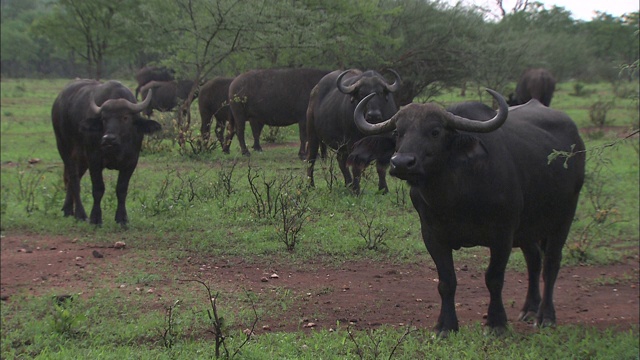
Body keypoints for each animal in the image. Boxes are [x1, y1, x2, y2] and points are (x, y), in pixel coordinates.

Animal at [52, 80, 162, 224]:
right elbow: (98, 188)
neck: (116, 148)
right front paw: (95, 218)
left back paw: (68, 210)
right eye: (104, 118)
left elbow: (121, 189)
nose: (108, 138)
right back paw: (80, 214)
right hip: (65, 149)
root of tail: (58, 101)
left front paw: (122, 218)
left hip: (82, 159)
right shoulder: (94, 160)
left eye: (125, 117)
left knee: (71, 179)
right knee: (74, 179)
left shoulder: (131, 161)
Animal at [356, 89, 584, 334]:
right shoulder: (432, 235)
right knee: (533, 259)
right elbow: (446, 281)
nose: (401, 162)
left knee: (551, 263)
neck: (455, 197)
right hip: (528, 229)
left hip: (564, 218)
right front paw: (446, 326)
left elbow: (494, 278)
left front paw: (496, 323)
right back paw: (529, 309)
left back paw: (545, 316)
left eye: (435, 131)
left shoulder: (502, 234)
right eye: (398, 132)